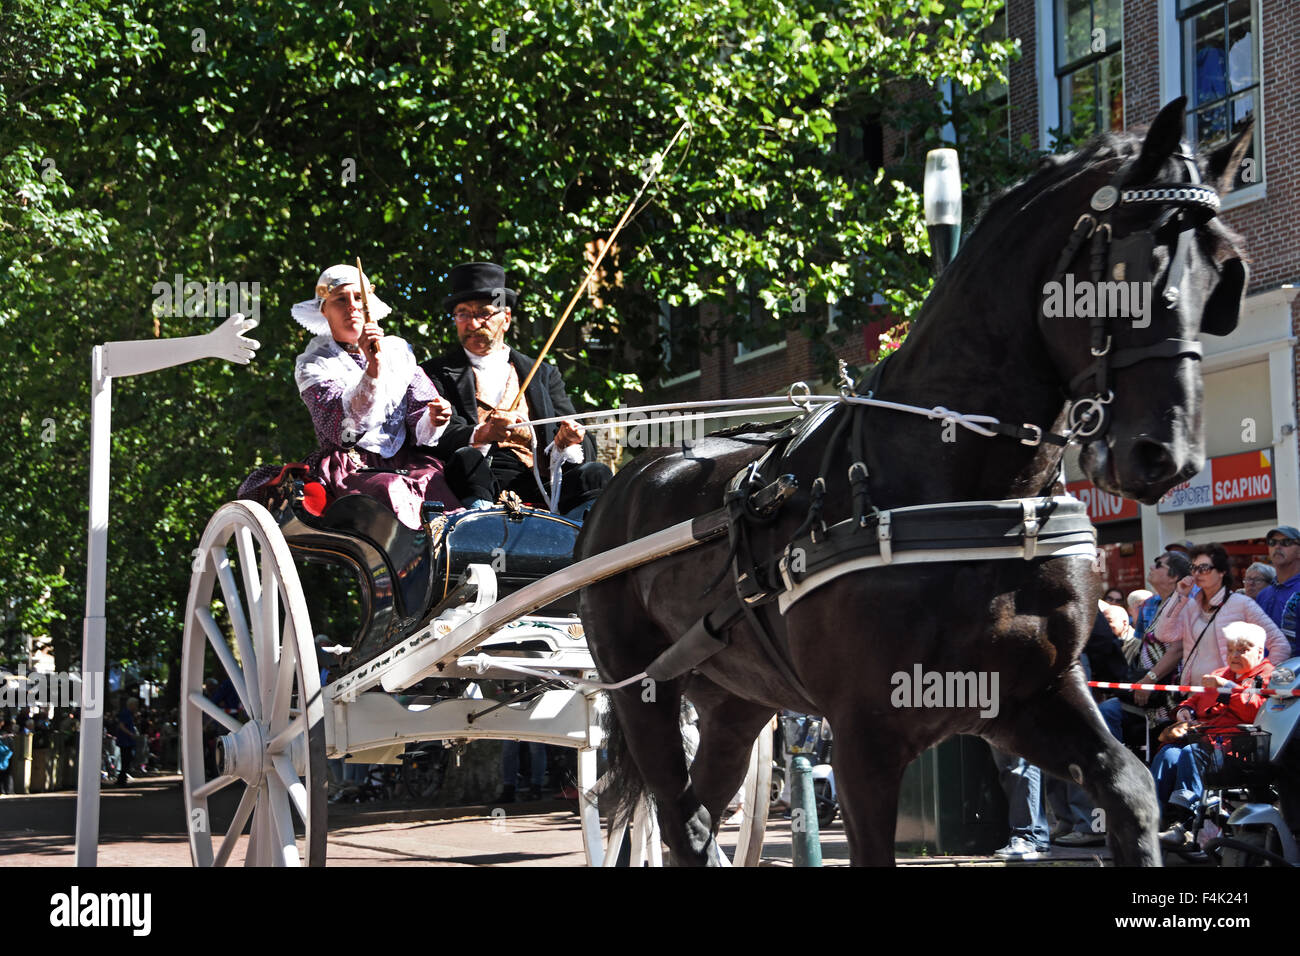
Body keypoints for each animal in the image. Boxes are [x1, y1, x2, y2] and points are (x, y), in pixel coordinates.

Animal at [577, 98, 1248, 868]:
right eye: (1134, 264)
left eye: (1222, 275)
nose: (1167, 452)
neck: (970, 489)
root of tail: (619, 490)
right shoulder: (865, 734)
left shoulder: (1028, 696)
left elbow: (1133, 789)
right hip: (643, 692)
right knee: (677, 816)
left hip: (736, 702)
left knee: (697, 813)